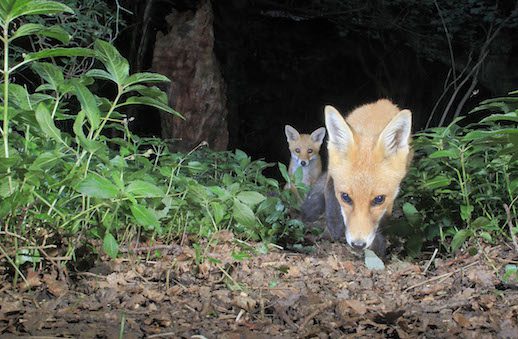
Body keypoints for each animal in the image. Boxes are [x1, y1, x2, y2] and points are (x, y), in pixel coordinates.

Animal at [302, 99, 412, 256]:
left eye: (379, 199)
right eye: (346, 197)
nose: (358, 245)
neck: (369, 129)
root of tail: (383, 101)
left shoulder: (390, 197)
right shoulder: (332, 172)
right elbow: (330, 198)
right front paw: (333, 229)